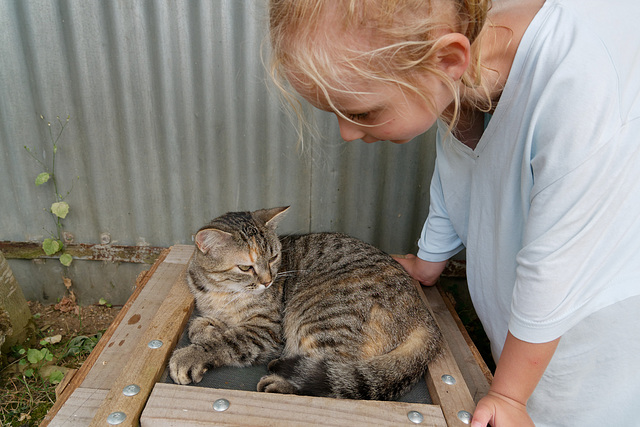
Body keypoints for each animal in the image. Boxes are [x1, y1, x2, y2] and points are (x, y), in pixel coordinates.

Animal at [168, 207, 442, 402]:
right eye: (246, 267)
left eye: (274, 257)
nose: (268, 281)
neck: (221, 292)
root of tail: (425, 316)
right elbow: (208, 324)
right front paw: (207, 327)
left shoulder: (268, 332)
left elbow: (227, 341)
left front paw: (192, 354)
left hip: (319, 317)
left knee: (333, 381)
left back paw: (280, 382)